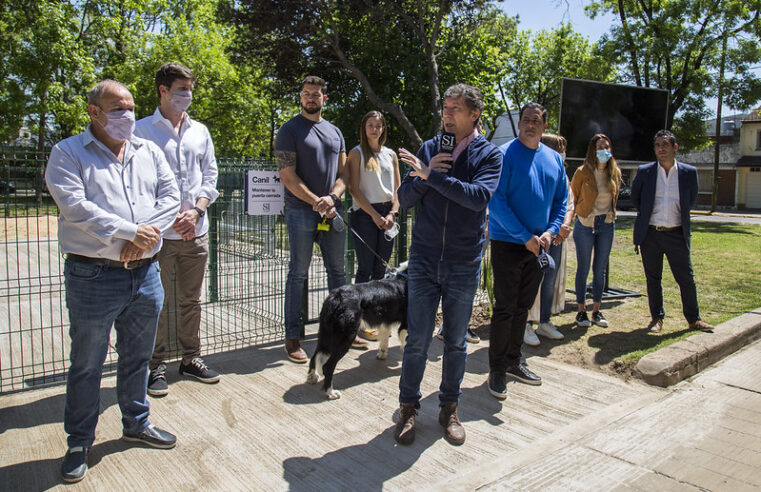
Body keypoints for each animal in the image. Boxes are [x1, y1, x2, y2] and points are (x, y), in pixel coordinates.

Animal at [306, 262, 406, 400]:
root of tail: (337, 296)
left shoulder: (385, 321)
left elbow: (384, 340)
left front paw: (382, 354)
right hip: (346, 336)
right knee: (328, 366)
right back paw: (331, 392)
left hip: (325, 333)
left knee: (314, 356)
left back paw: (311, 377)